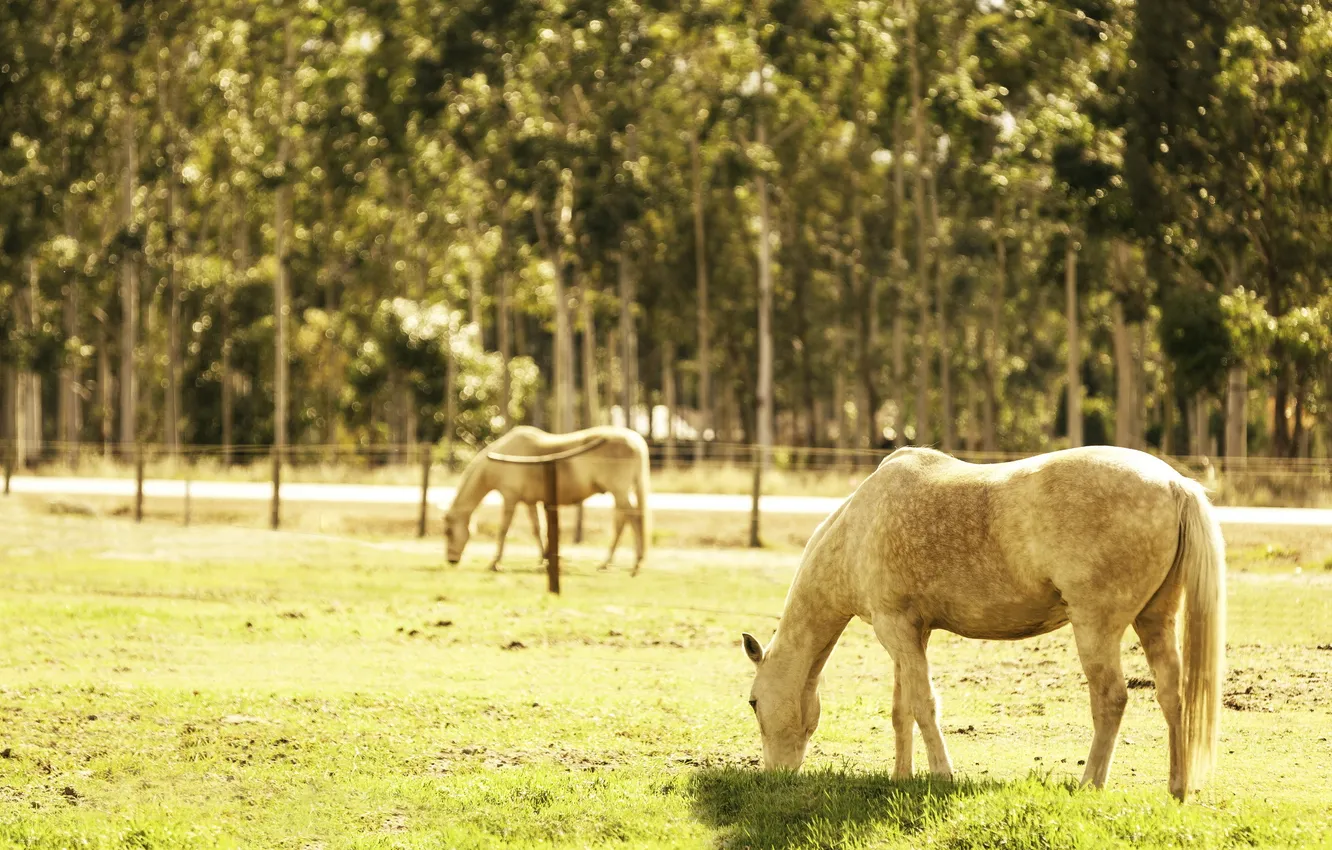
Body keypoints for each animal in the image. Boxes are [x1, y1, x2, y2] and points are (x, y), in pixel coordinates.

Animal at [444, 425, 651, 575]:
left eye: (448, 532)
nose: (451, 560)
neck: (503, 457)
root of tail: (637, 441)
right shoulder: (530, 502)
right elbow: (538, 530)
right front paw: (545, 559)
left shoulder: (510, 498)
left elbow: (503, 530)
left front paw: (495, 563)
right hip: (620, 493)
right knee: (624, 521)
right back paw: (609, 563)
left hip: (619, 492)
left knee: (633, 518)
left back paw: (634, 563)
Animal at [741, 446, 1225, 801]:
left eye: (752, 702)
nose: (775, 775)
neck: (860, 527)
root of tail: (1173, 483)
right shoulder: (907, 635)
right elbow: (902, 710)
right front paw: (900, 777)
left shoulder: (896, 630)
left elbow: (923, 706)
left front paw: (942, 776)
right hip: (1154, 620)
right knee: (1171, 694)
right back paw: (1177, 788)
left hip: (1096, 628)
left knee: (1111, 700)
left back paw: (1090, 784)